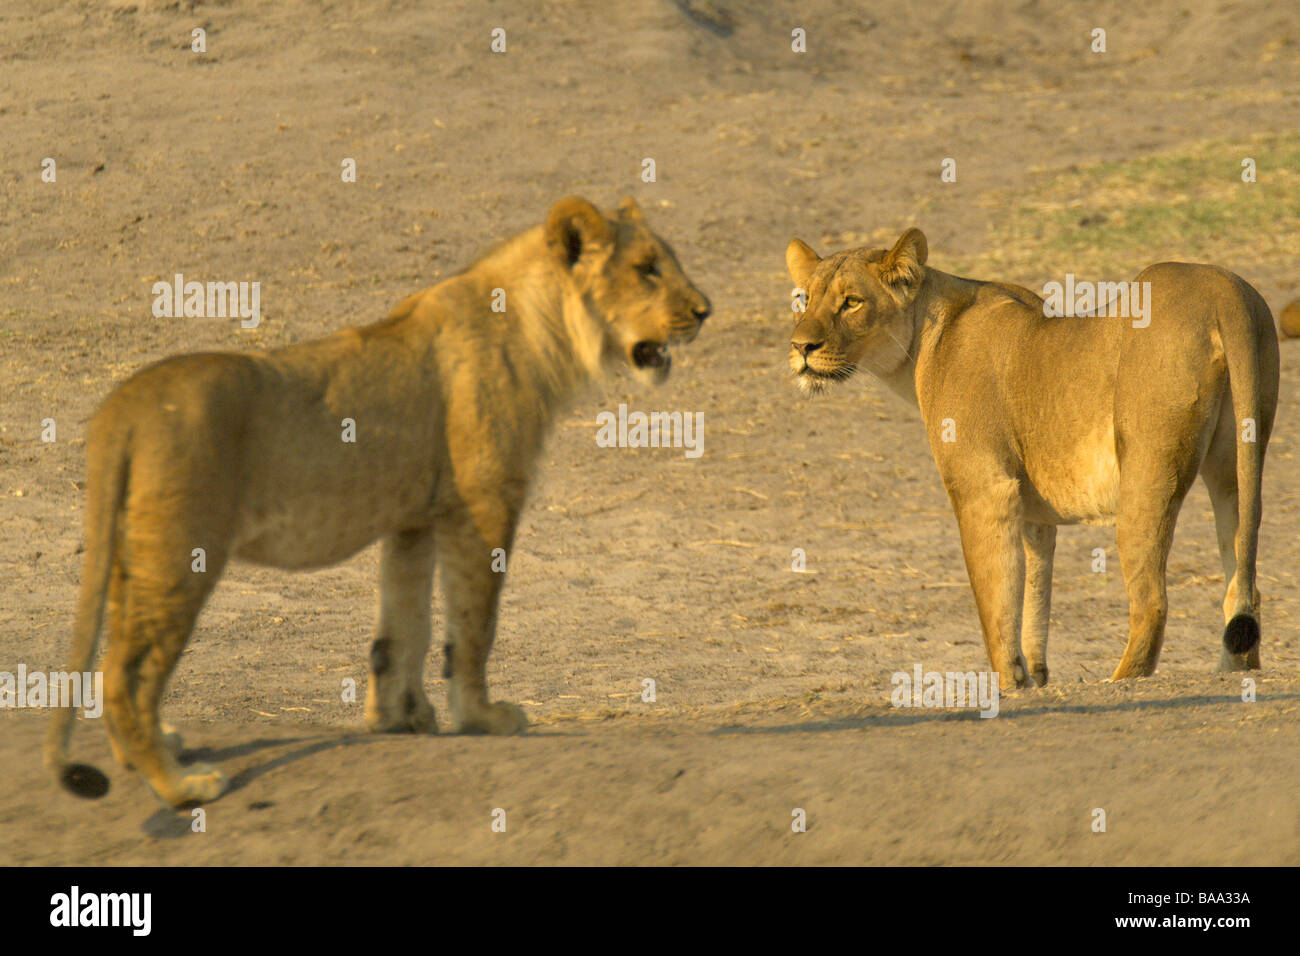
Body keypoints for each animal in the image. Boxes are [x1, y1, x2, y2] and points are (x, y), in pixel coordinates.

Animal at [46, 196, 710, 807]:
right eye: (647, 269)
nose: (705, 311)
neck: (539, 328)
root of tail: (125, 403)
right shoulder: (484, 504)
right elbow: (474, 624)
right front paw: (483, 718)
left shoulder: (413, 519)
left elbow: (403, 627)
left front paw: (402, 718)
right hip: (181, 555)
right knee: (125, 673)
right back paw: (180, 784)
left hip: (134, 553)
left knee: (113, 659)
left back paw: (155, 752)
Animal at [785, 228, 1279, 687]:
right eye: (803, 299)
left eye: (851, 302)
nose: (801, 348)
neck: (925, 335)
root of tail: (1223, 289)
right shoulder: (1031, 511)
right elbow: (1033, 593)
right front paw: (1035, 675)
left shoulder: (984, 488)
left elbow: (995, 600)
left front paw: (1009, 685)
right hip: (1236, 466)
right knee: (1245, 581)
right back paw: (1231, 671)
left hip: (1148, 469)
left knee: (1152, 602)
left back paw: (1119, 680)